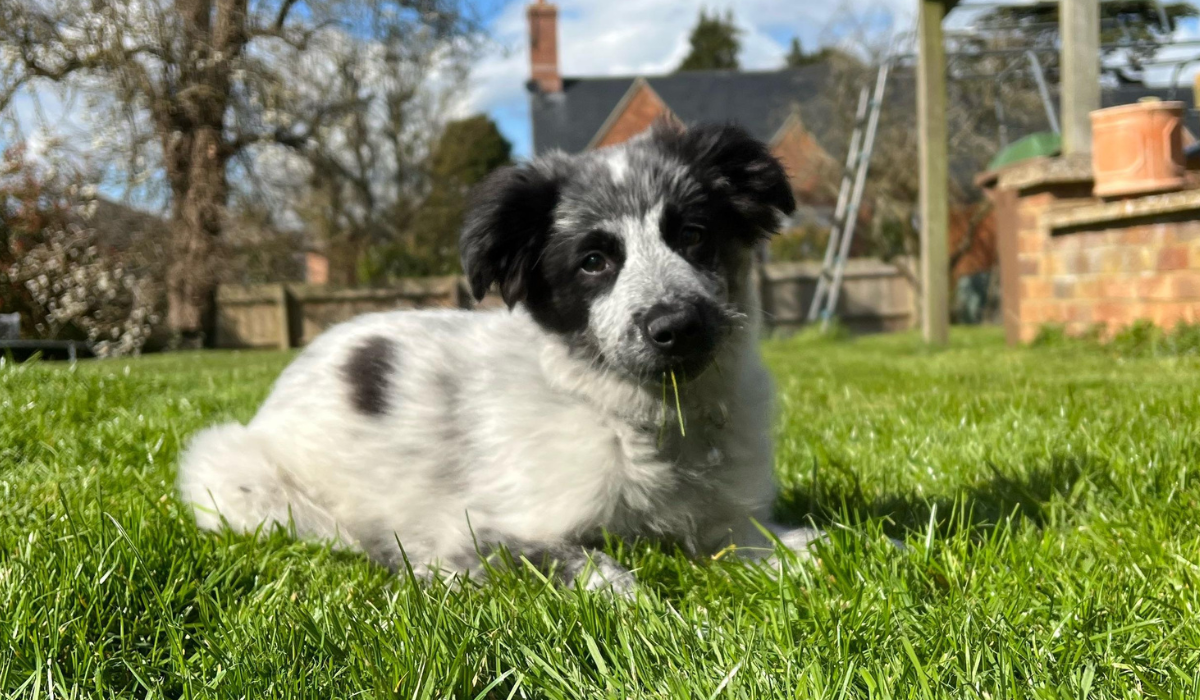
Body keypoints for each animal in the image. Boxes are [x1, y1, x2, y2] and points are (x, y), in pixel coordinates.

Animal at [177, 120, 820, 590]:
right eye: (593, 262)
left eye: (692, 235)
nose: (676, 327)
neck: (640, 419)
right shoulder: (482, 528)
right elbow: (595, 570)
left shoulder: (725, 517)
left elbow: (781, 541)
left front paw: (821, 553)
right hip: (235, 473)